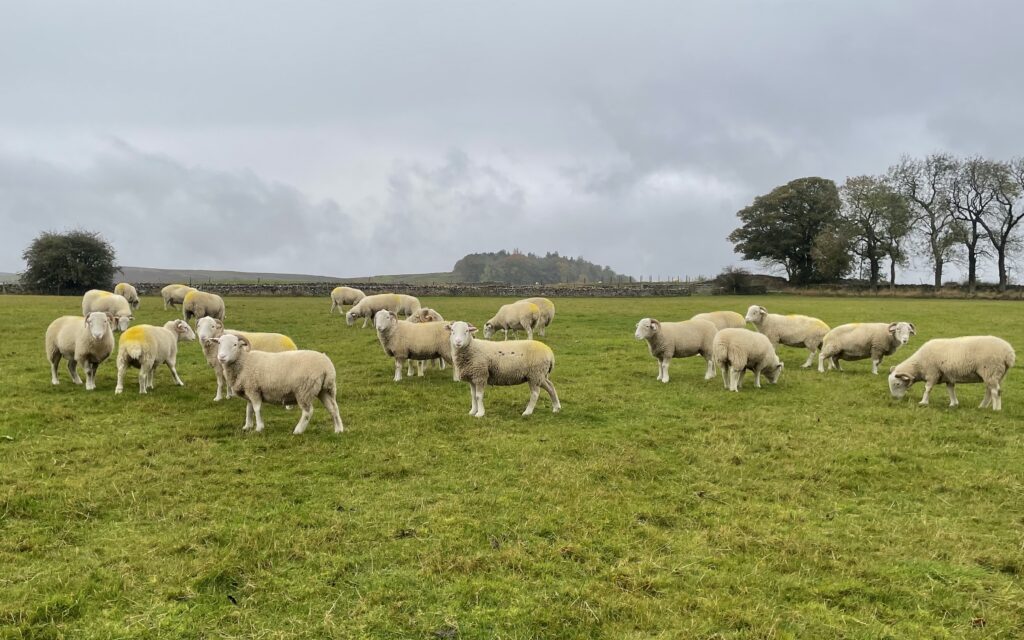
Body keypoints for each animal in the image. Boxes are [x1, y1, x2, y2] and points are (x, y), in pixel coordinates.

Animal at [214, 333, 346, 434]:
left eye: (235, 344)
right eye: (219, 343)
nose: (221, 357)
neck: (244, 362)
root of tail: (327, 366)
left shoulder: (254, 389)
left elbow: (256, 409)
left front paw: (259, 428)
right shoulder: (249, 390)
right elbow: (249, 409)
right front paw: (247, 426)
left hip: (304, 390)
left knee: (308, 411)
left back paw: (298, 430)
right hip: (326, 389)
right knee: (333, 408)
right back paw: (339, 430)